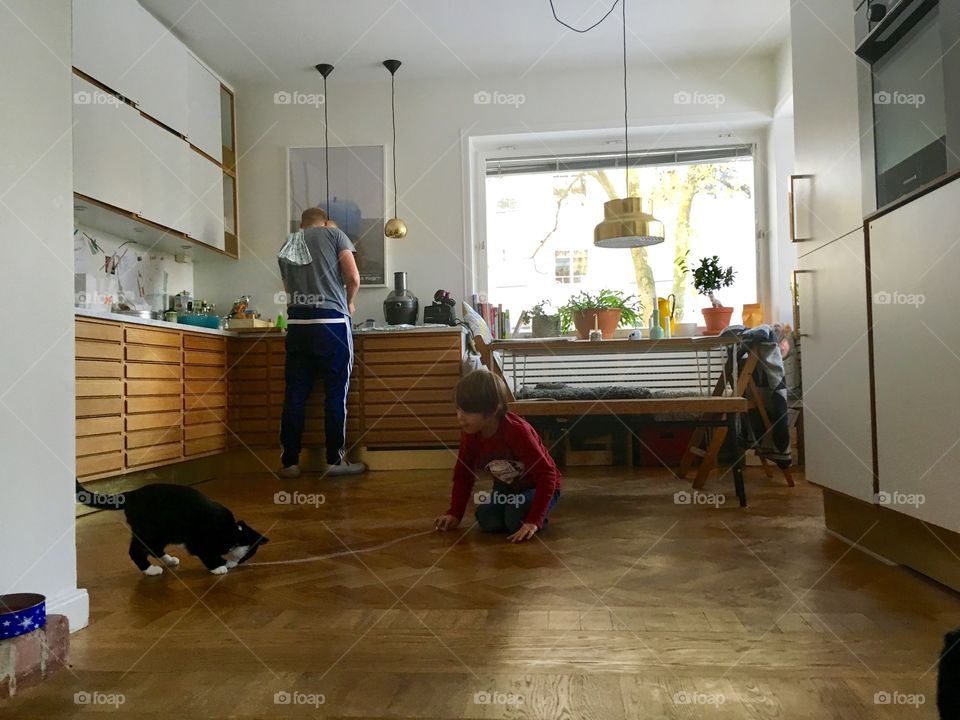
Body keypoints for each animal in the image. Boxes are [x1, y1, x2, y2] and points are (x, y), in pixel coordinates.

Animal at [73, 480, 270, 576]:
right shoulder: (198, 541)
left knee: (154, 549)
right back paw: (150, 570)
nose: (236, 564)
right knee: (135, 551)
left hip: (163, 533)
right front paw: (219, 566)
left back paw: (169, 560)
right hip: (150, 531)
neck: (234, 533)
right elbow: (207, 554)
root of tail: (130, 494)